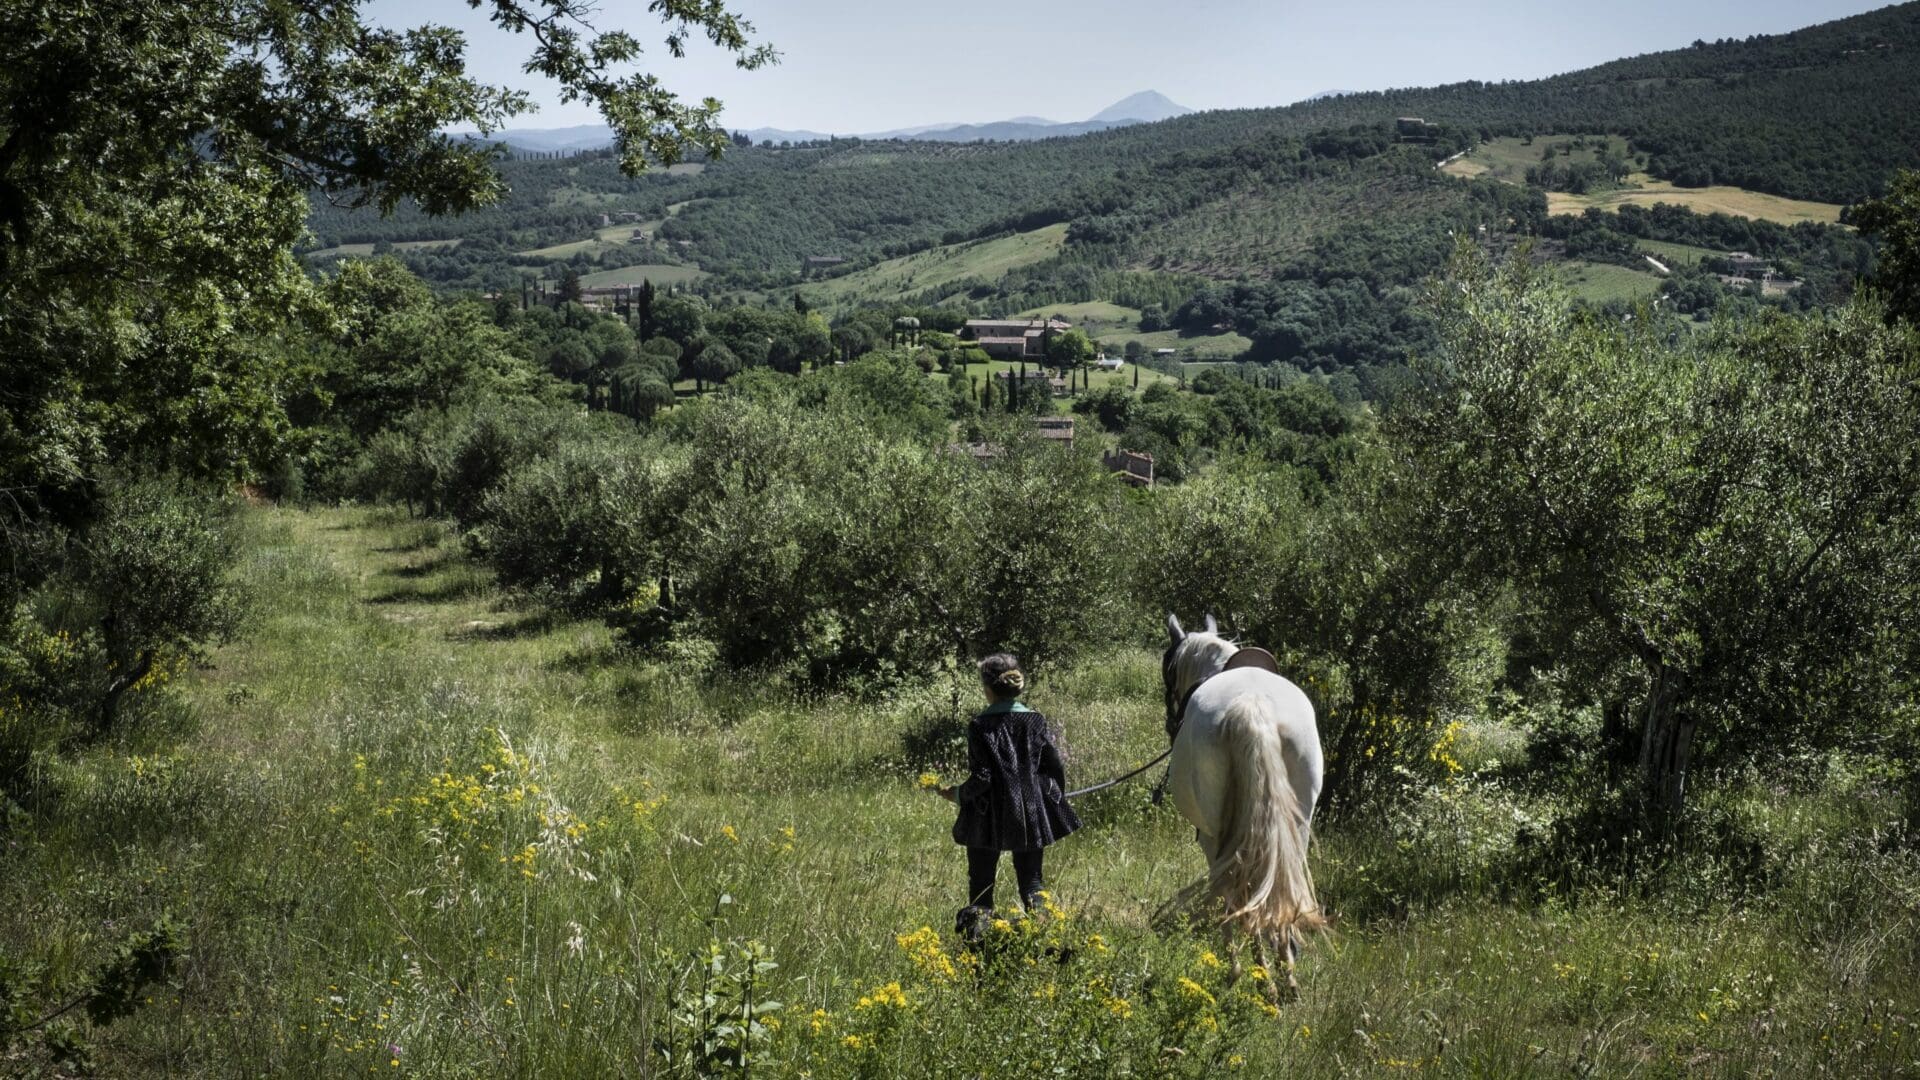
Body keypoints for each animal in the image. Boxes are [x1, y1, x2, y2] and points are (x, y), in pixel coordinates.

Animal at [1159, 611, 1328, 991]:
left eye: (1167, 672)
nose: (1170, 723)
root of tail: (1253, 707)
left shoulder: (1209, 839)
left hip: (1217, 836)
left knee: (1238, 891)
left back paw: (1252, 973)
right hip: (1296, 824)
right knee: (1276, 883)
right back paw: (1284, 975)